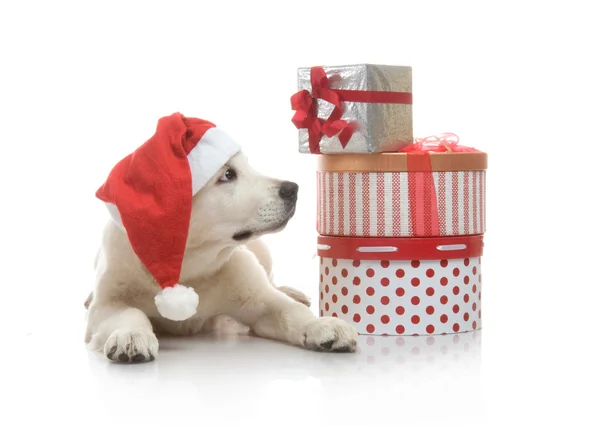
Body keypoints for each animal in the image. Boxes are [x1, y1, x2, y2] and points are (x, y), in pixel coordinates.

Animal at [84, 151, 356, 362]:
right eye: (227, 175)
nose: (293, 189)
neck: (188, 265)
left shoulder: (256, 297)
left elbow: (289, 310)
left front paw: (323, 325)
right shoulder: (106, 304)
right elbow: (129, 312)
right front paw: (131, 335)